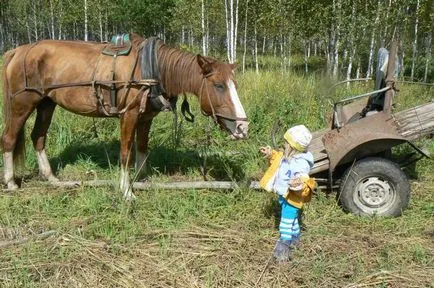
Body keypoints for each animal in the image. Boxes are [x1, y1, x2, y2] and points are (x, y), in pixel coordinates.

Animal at [1, 33, 248, 199]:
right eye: (218, 85)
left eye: (235, 85)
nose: (242, 127)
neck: (151, 67)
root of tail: (18, 51)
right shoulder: (128, 115)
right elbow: (126, 153)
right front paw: (127, 190)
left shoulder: (146, 118)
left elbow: (142, 149)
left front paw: (140, 180)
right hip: (23, 104)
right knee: (9, 139)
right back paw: (11, 182)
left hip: (46, 103)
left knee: (38, 137)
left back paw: (50, 177)